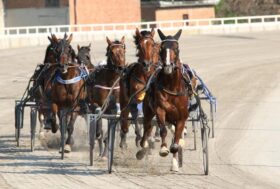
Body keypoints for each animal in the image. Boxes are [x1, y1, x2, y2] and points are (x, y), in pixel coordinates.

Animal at [136, 28, 190, 172]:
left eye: (176, 48)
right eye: (162, 48)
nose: (168, 66)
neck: (172, 86)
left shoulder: (182, 116)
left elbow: (177, 136)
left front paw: (176, 150)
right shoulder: (160, 109)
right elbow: (162, 130)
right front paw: (164, 149)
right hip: (148, 111)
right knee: (147, 127)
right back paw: (142, 149)